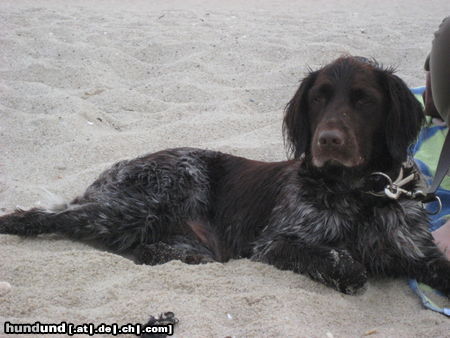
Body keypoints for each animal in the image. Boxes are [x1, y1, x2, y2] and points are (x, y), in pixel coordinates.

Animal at [0, 56, 450, 294]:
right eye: (318, 99)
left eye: (365, 101)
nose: (328, 140)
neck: (359, 196)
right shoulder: (275, 243)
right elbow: (344, 260)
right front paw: (352, 269)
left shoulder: (420, 253)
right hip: (147, 198)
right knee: (53, 217)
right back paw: (14, 222)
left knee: (141, 249)